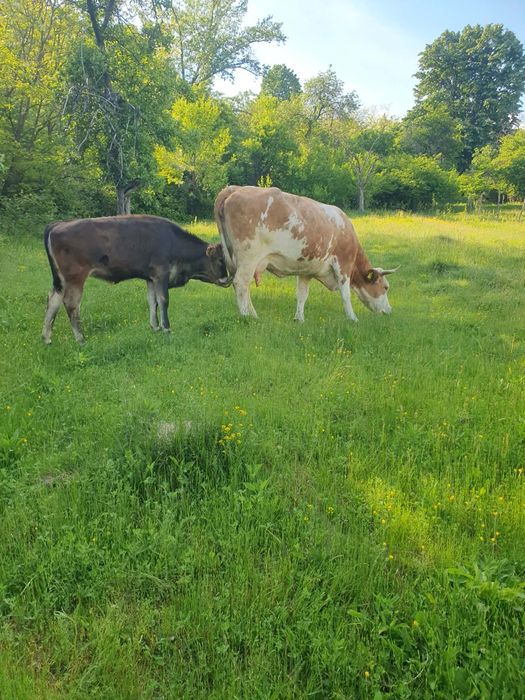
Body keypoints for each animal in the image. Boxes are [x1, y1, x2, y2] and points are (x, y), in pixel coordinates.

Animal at [42, 215, 229, 344]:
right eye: (221, 260)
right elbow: (163, 301)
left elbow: (152, 301)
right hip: (75, 278)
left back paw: (46, 338)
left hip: (60, 281)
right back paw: (80, 339)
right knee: (71, 304)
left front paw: (155, 327)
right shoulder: (161, 274)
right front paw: (166, 328)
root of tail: (58, 224)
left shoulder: (151, 278)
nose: (227, 279)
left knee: (53, 300)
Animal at [214, 186, 397, 322]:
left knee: (243, 287)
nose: (389, 310)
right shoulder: (343, 264)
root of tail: (233, 189)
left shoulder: (306, 270)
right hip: (249, 256)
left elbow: (302, 294)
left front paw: (299, 318)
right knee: (241, 283)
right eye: (385, 287)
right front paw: (352, 318)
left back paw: (252, 315)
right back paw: (247, 316)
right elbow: (345, 294)